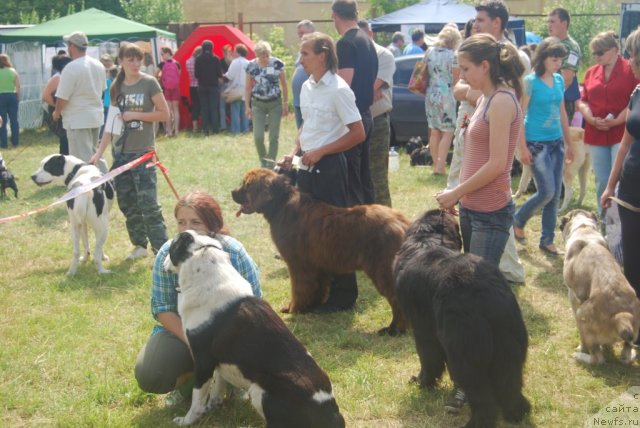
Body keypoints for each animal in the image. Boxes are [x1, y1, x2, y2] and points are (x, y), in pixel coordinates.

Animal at [165, 232, 344, 426]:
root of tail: (332, 413)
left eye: (171, 246)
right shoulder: (220, 358)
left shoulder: (203, 360)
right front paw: (214, 404)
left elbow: (197, 400)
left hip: (260, 391)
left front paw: (186, 421)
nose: (162, 260)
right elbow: (218, 385)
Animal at [230, 169, 410, 336]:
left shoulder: (297, 264)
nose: (232, 192)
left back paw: (394, 330)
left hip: (382, 270)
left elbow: (298, 289)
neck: (281, 205)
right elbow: (318, 288)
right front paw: (312, 306)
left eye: (246, 185)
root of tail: (402, 223)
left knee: (397, 300)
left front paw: (294, 309)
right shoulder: (318, 265)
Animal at [396, 209, 528, 426]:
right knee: (509, 382)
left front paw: (422, 381)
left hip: (465, 348)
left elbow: (428, 358)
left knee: (480, 392)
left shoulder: (423, 329)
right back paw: (517, 413)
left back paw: (477, 421)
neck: (427, 240)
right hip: (508, 343)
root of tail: (485, 290)